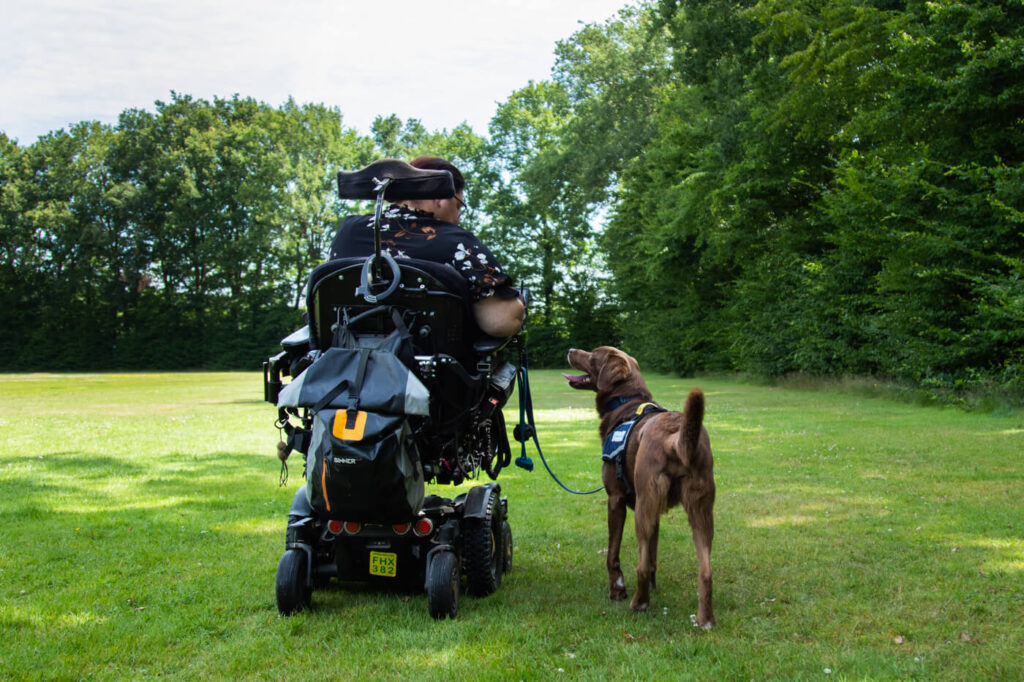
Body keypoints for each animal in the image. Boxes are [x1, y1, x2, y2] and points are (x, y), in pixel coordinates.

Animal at [565, 346, 716, 626]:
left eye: (593, 354)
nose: (570, 349)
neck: (626, 403)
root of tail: (675, 438)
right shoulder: (656, 511)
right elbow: (654, 555)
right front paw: (653, 588)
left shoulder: (615, 499)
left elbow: (613, 554)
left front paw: (617, 590)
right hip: (700, 509)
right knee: (706, 571)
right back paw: (705, 620)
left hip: (645, 506)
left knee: (641, 564)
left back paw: (639, 603)